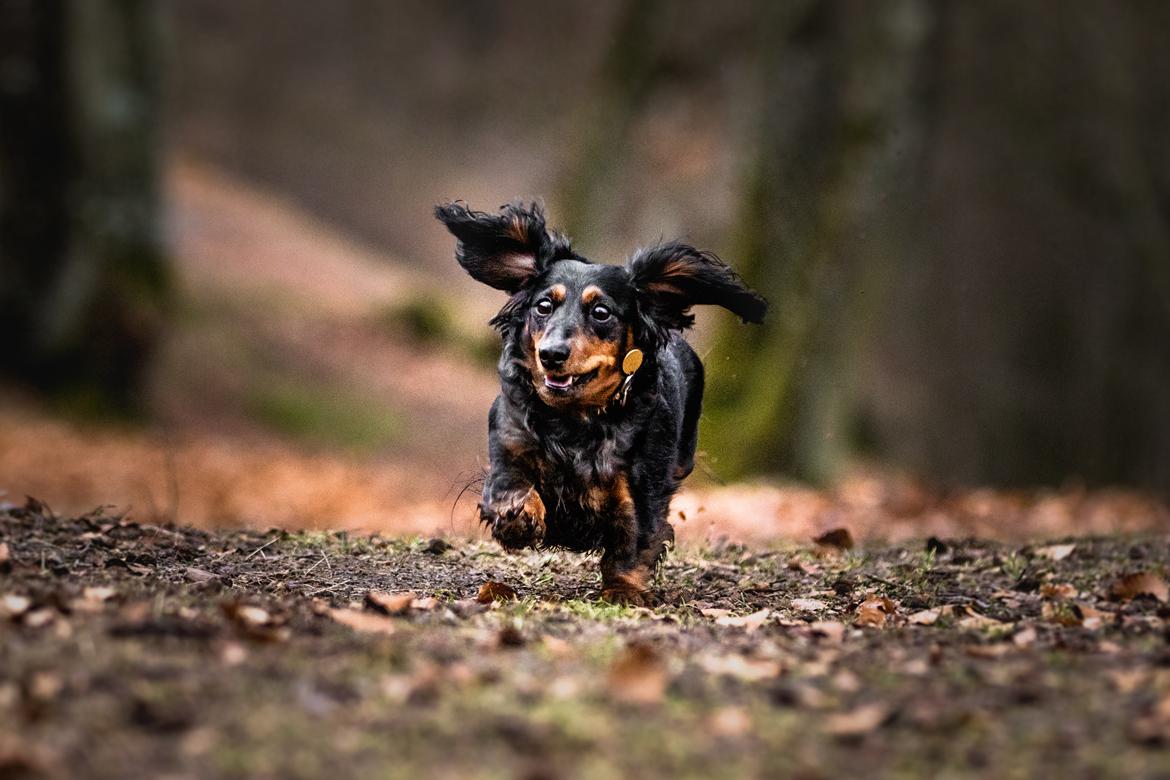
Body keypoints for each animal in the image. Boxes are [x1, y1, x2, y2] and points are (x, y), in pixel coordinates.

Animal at [435, 199, 762, 603]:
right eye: (544, 306)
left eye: (601, 312)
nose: (551, 354)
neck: (574, 419)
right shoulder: (509, 439)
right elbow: (509, 481)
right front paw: (517, 515)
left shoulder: (640, 488)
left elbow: (634, 538)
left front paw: (623, 591)